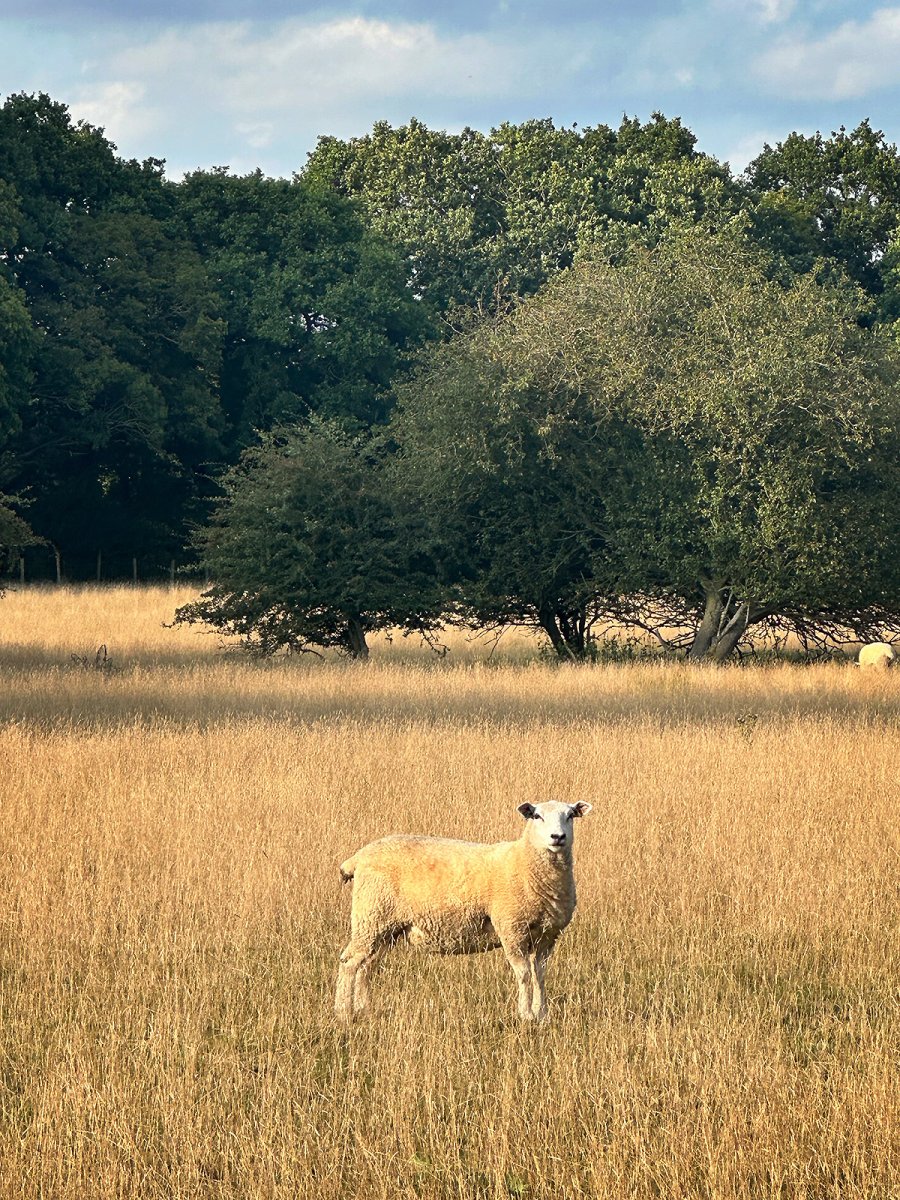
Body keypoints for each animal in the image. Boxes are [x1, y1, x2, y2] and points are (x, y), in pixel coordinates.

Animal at [336, 801, 595, 1027]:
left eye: (570, 815)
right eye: (537, 816)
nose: (557, 837)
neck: (525, 864)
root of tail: (357, 858)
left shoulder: (548, 935)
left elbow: (540, 975)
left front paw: (542, 1015)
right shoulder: (512, 929)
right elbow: (523, 974)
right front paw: (526, 1015)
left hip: (385, 927)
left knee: (367, 965)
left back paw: (364, 1010)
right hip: (371, 915)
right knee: (349, 962)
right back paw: (343, 1012)